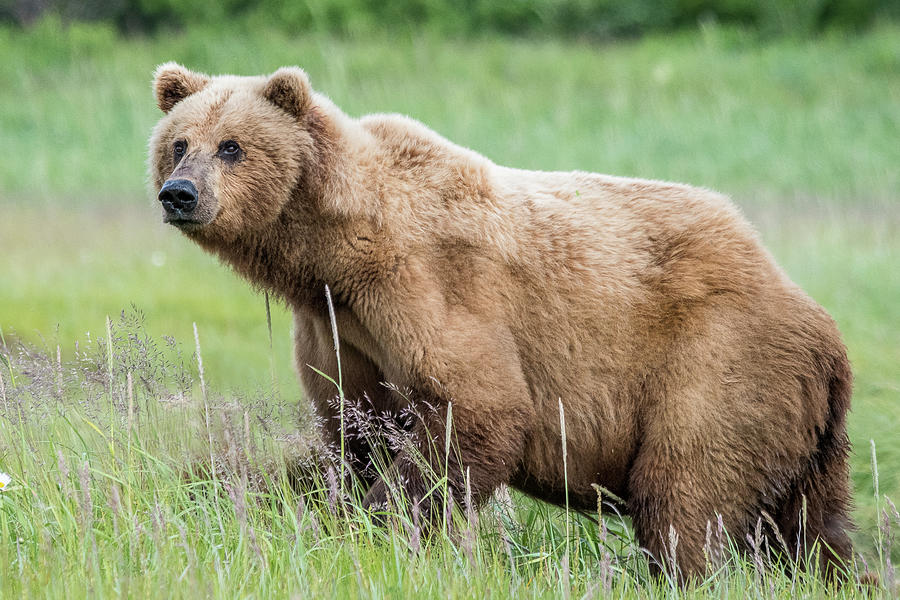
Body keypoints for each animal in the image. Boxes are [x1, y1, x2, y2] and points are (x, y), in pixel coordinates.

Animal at [151, 63, 856, 580]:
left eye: (233, 146)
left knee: (686, 495)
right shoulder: (338, 326)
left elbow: (475, 411)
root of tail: (821, 326)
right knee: (809, 527)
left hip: (717, 364)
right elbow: (352, 432)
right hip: (798, 425)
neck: (333, 251)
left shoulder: (427, 289)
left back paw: (681, 571)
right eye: (178, 144)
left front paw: (387, 525)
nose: (179, 193)